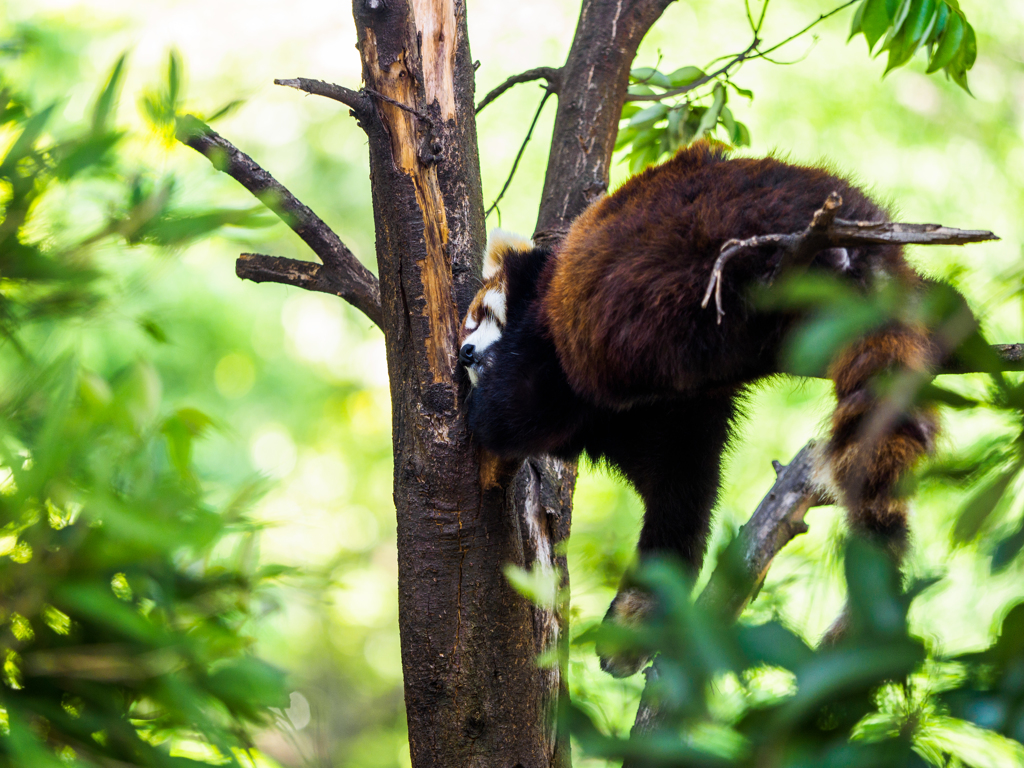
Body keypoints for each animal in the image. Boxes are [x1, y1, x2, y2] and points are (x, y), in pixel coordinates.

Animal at [464, 141, 942, 675]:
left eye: (478, 316)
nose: (464, 355)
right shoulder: (676, 414)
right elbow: (679, 493)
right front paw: (639, 614)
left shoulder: (552, 345)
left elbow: (512, 413)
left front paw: (481, 409)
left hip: (702, 246)